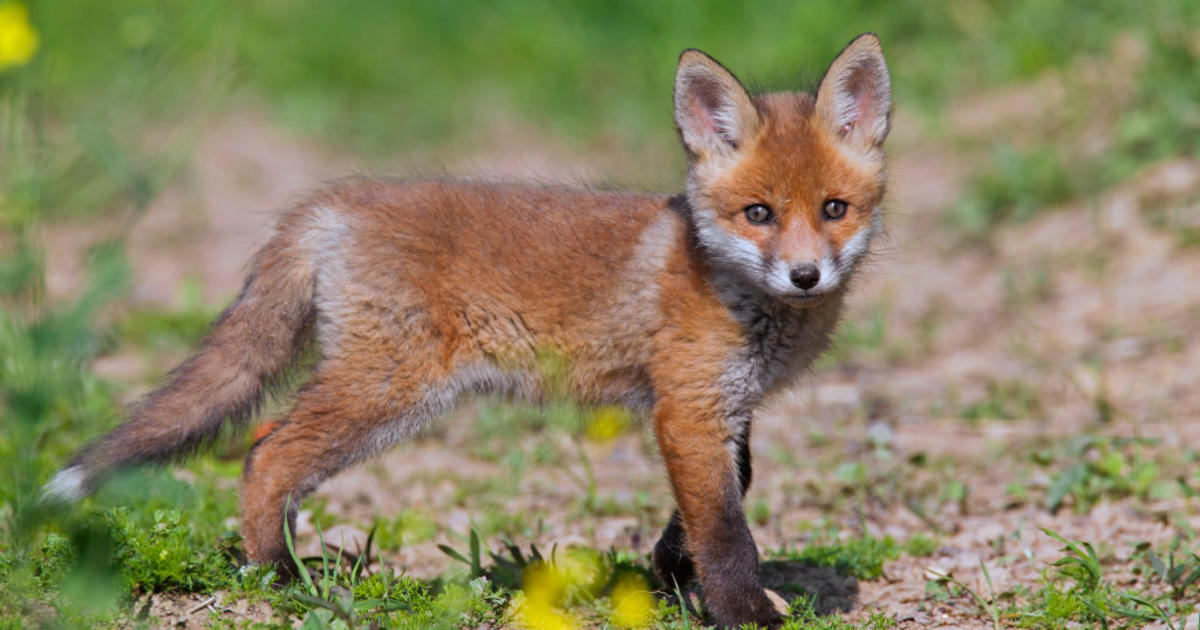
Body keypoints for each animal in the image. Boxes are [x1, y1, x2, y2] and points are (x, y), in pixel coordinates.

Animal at [44, 33, 892, 624]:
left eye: (833, 209)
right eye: (758, 214)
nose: (807, 276)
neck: (735, 292)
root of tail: (330, 203)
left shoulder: (725, 410)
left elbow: (721, 499)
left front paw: (671, 574)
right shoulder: (687, 408)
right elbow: (725, 529)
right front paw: (743, 612)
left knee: (262, 449)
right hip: (388, 392)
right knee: (264, 455)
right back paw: (280, 578)